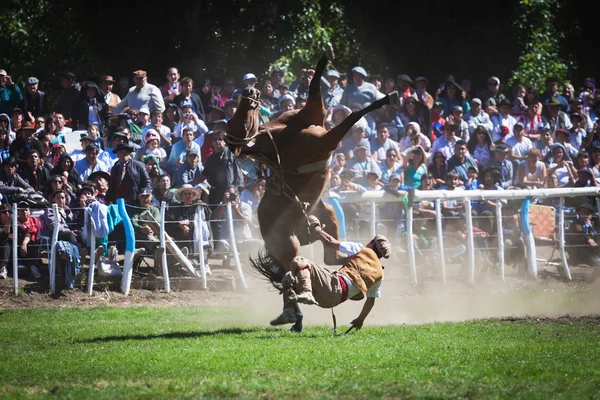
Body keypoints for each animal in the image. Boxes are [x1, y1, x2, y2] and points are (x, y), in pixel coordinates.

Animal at [227, 48, 396, 274]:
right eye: (236, 124)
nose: (248, 90)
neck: (283, 137)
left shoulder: (315, 109)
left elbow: (315, 85)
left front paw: (326, 54)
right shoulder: (326, 141)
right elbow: (353, 115)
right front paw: (388, 98)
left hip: (328, 214)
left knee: (331, 257)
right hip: (291, 247)